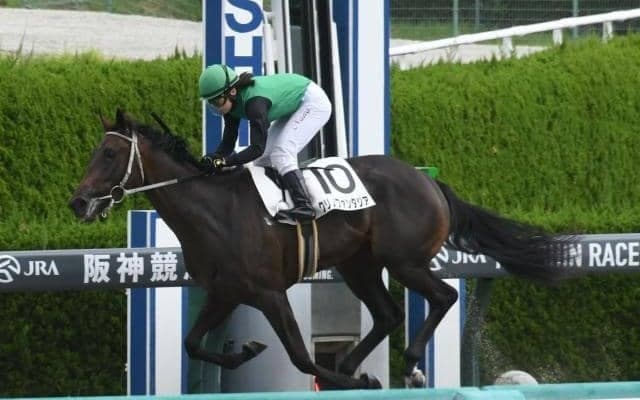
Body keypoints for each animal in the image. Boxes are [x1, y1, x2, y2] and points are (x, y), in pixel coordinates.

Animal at [69, 109, 574, 390]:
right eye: (96, 152)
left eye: (109, 154)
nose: (78, 202)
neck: (214, 212)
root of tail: (429, 181)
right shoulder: (225, 292)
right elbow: (194, 344)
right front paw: (244, 353)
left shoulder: (269, 292)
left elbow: (300, 356)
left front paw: (356, 378)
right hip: (359, 265)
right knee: (388, 313)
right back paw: (354, 362)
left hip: (403, 260)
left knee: (443, 296)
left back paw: (408, 364)